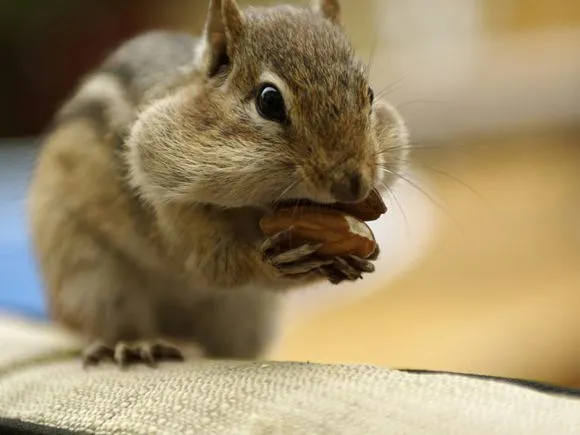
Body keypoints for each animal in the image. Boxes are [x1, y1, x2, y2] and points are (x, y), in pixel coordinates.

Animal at [26, 0, 408, 368]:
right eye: (269, 100)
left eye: (369, 94)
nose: (353, 185)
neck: (254, 209)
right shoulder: (171, 211)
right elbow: (216, 265)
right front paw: (271, 259)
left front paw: (356, 257)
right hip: (91, 281)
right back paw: (135, 344)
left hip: (246, 317)